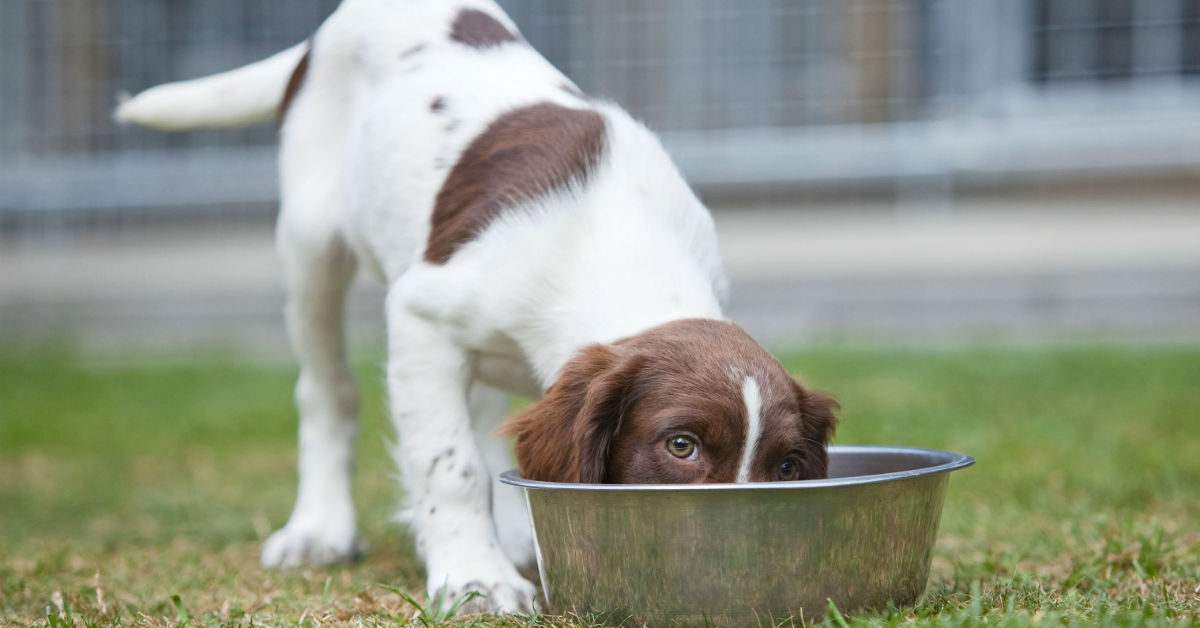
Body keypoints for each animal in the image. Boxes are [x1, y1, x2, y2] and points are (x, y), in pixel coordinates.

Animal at [117, 0, 840, 614]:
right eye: (681, 446)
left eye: (788, 466)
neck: (626, 256)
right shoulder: (422, 321)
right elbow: (450, 466)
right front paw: (475, 579)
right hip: (309, 243)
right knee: (327, 390)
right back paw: (319, 529)